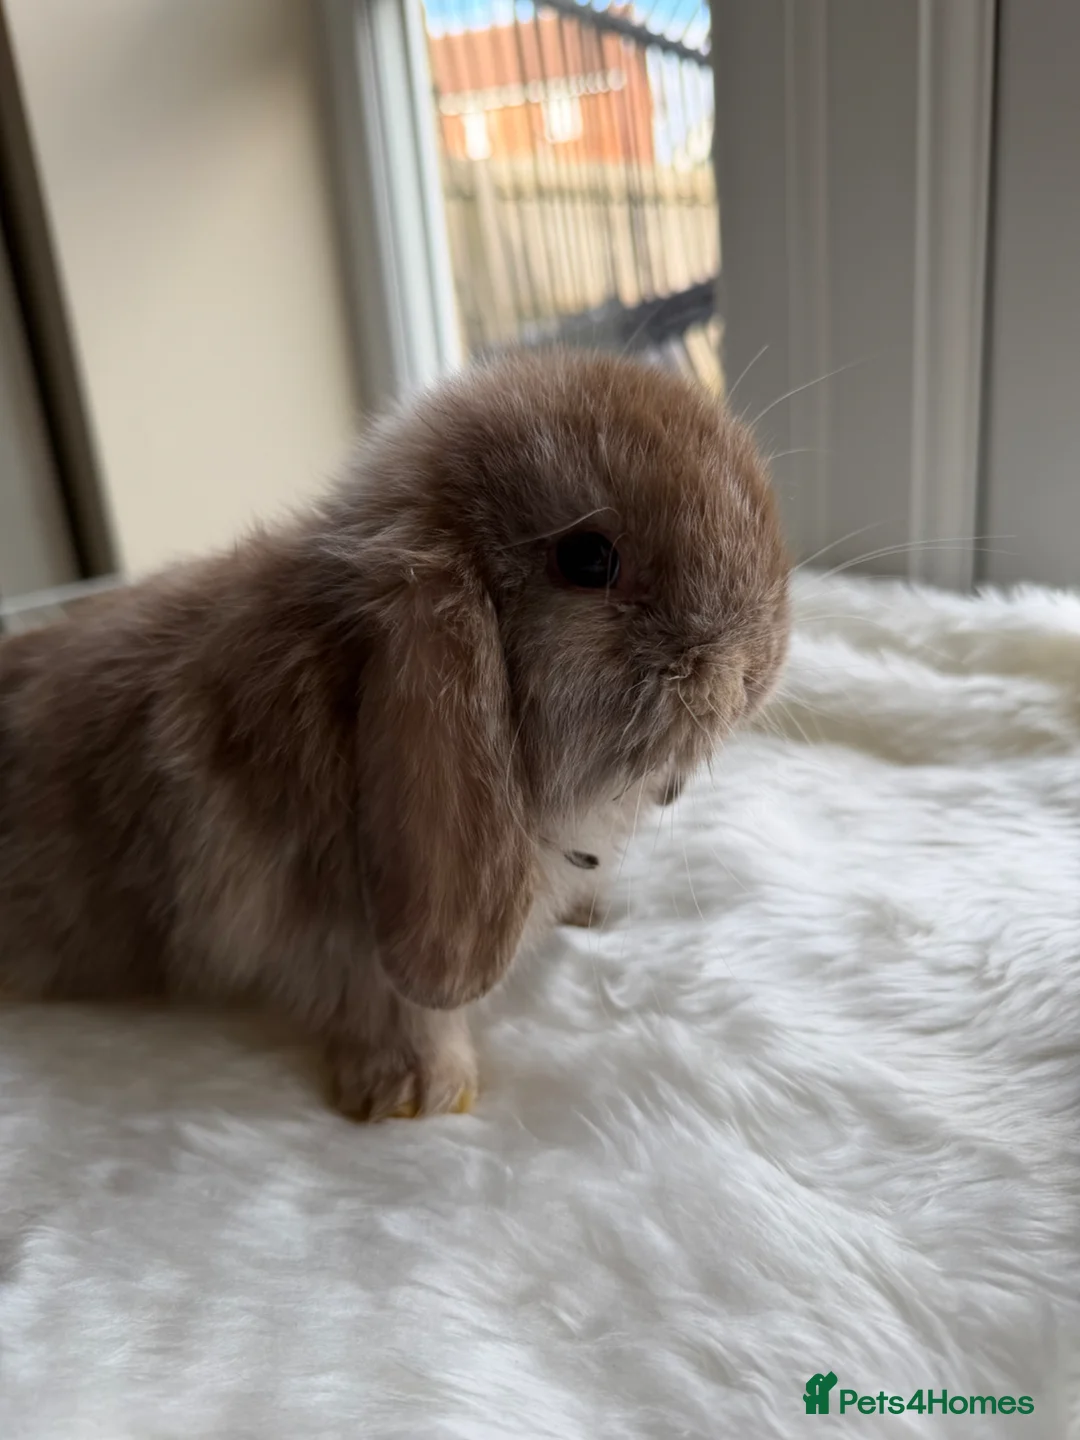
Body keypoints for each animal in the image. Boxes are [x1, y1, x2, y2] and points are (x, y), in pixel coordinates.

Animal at [0, 348, 791, 1120]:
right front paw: (418, 1093)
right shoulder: (349, 931)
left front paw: (587, 911)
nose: (757, 667)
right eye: (589, 559)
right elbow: (399, 1007)